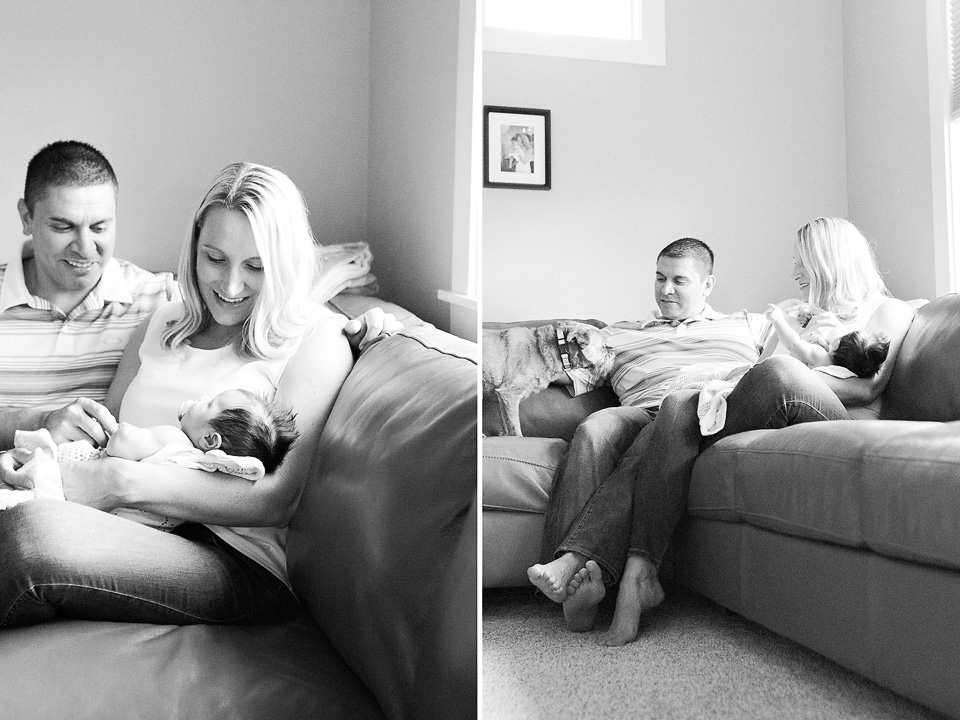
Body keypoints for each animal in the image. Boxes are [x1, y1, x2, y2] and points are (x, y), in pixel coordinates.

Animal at [482, 321, 614, 436]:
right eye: (604, 347)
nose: (614, 352)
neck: (559, 348)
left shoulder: (503, 401)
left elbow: (506, 424)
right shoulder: (509, 394)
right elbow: (515, 430)